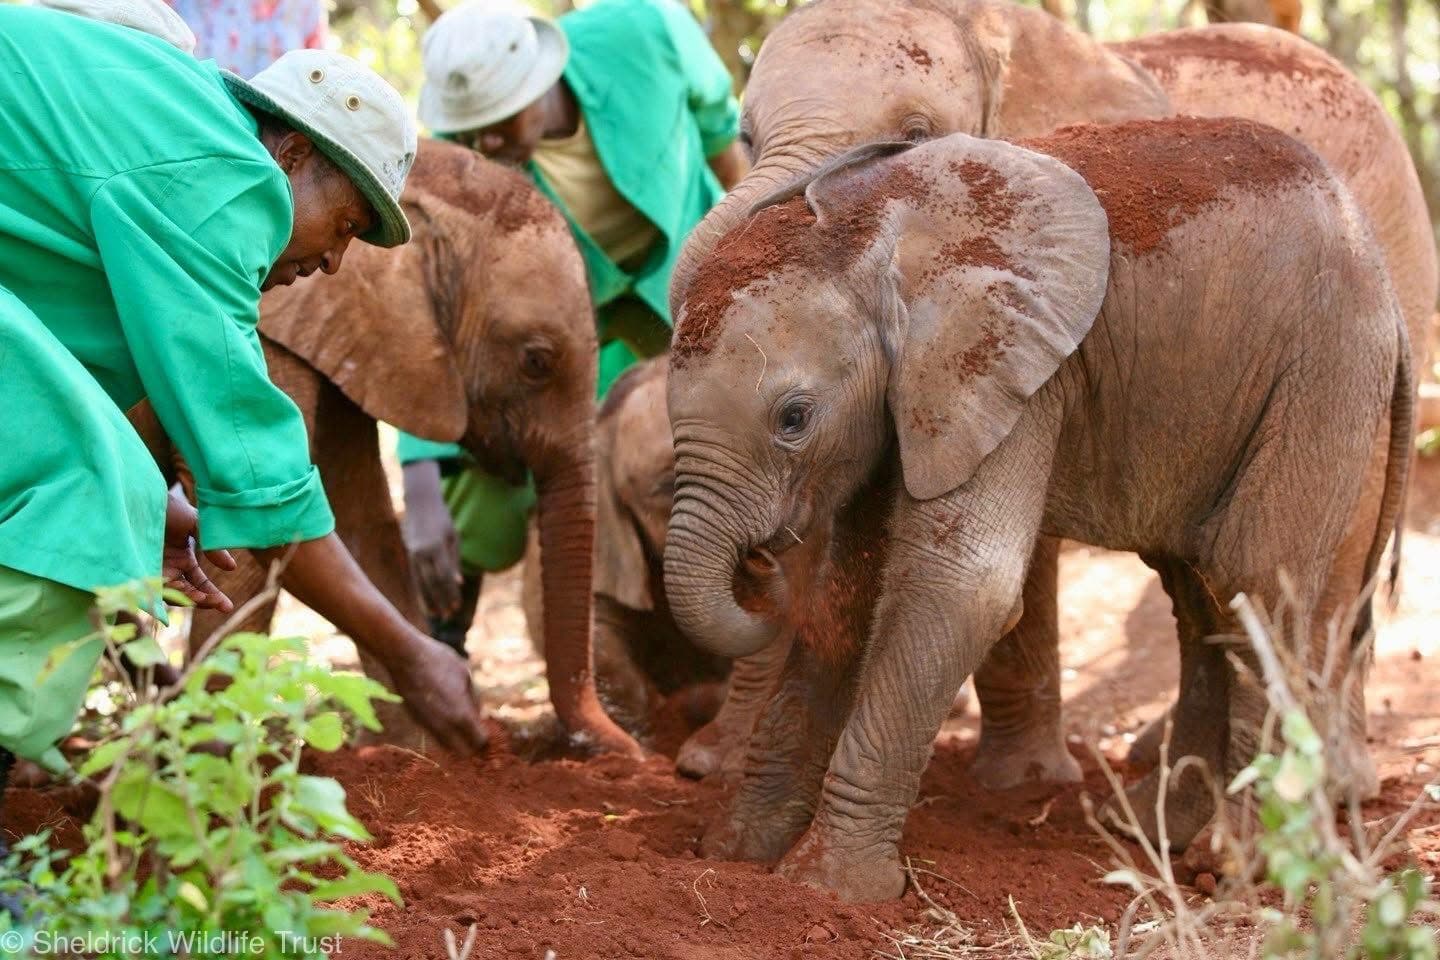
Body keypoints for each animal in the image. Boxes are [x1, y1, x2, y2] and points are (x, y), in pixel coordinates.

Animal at [189, 139, 641, 758]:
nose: (638, 754)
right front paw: (207, 764)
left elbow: (362, 520)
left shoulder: (354, 341)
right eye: (536, 361)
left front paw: (418, 754)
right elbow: (254, 513)